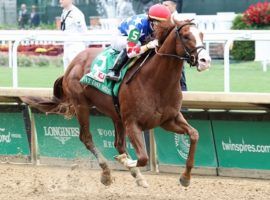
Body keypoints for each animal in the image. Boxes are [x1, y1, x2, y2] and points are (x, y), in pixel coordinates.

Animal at [22, 19, 211, 188]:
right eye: (186, 36)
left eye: (202, 34)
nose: (205, 61)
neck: (156, 82)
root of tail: (73, 63)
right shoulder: (133, 123)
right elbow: (143, 158)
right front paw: (125, 162)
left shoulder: (168, 120)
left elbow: (194, 135)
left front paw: (185, 177)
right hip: (81, 105)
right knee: (87, 138)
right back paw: (106, 172)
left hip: (116, 114)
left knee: (118, 144)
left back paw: (137, 176)